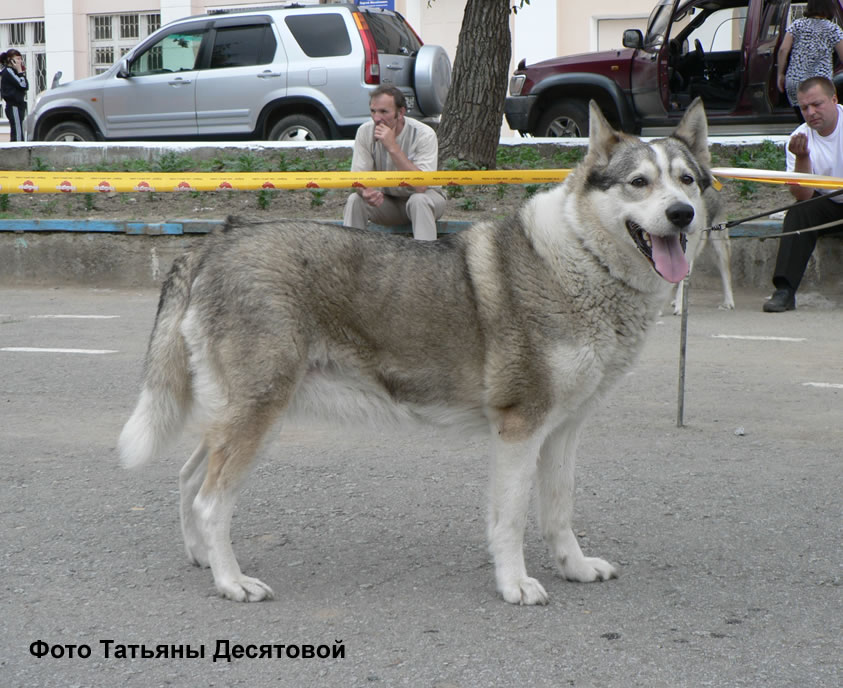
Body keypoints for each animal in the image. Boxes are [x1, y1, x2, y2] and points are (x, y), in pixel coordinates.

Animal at [117, 99, 720, 604]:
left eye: (686, 181)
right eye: (639, 183)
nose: (682, 215)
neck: (580, 263)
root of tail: (215, 241)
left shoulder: (563, 432)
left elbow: (559, 513)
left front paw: (574, 568)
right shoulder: (518, 430)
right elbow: (510, 521)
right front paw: (514, 585)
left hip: (241, 416)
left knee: (188, 479)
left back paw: (201, 559)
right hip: (258, 416)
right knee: (210, 500)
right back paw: (231, 582)